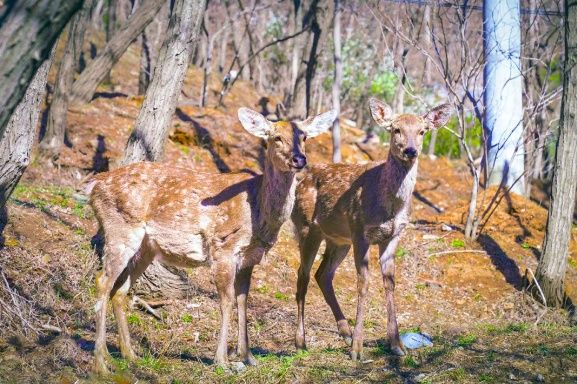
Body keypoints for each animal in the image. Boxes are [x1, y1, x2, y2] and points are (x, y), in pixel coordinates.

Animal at [88, 107, 336, 372]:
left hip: (145, 247)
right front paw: (222, 361)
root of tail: (93, 186)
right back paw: (100, 363)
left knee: (120, 289)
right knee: (102, 281)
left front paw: (248, 357)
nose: (300, 159)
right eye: (276, 138)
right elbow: (226, 301)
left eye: (304, 137)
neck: (258, 210)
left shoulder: (250, 257)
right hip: (120, 228)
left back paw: (128, 355)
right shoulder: (223, 248)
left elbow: (243, 300)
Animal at [292, 97, 450, 360]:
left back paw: (344, 332)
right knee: (302, 277)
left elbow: (390, 283)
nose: (410, 150)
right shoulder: (360, 232)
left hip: (338, 240)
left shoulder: (394, 235)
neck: (391, 206)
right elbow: (363, 283)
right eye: (396, 129)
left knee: (322, 274)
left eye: (422, 131)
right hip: (306, 228)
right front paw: (358, 349)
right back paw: (301, 342)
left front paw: (397, 345)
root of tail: (299, 182)